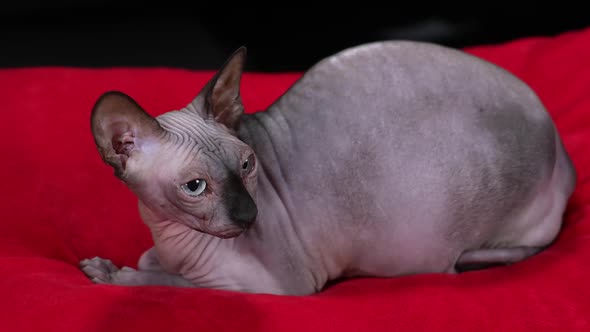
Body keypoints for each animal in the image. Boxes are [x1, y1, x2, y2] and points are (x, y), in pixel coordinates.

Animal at [80, 41, 580, 296]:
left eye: (248, 165)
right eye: (195, 186)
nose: (249, 216)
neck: (176, 240)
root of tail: (563, 155)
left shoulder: (276, 289)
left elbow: (171, 282)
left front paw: (111, 274)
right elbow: (155, 263)